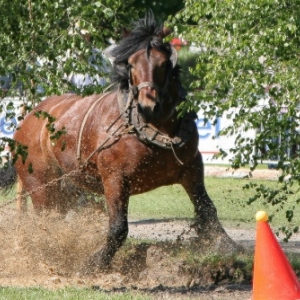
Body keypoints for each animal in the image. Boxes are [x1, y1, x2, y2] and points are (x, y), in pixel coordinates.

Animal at [1, 13, 238, 272]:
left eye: (164, 64)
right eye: (132, 64)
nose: (148, 106)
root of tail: (28, 119)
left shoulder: (192, 168)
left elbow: (207, 209)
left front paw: (227, 245)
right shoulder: (115, 179)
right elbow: (118, 227)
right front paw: (95, 261)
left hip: (64, 187)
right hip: (40, 185)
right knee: (46, 221)